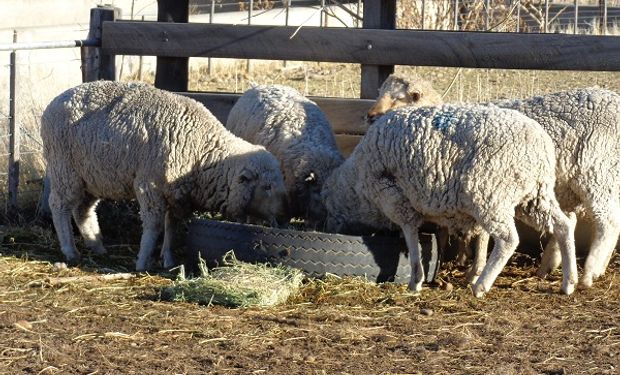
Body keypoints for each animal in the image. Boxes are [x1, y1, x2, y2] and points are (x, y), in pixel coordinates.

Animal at [41, 81, 288, 272]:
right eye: (266, 186)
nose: (285, 215)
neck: (202, 151)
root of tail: (55, 101)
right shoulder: (149, 187)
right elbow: (154, 226)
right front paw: (143, 262)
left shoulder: (178, 195)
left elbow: (172, 227)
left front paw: (168, 259)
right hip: (65, 170)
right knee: (59, 206)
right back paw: (70, 251)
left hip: (93, 177)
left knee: (82, 210)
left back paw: (97, 245)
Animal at [322, 102, 580, 296]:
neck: (356, 181)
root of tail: (540, 145)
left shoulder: (396, 199)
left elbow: (411, 237)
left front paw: (416, 280)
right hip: (534, 196)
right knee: (563, 225)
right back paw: (569, 283)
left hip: (489, 192)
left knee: (508, 239)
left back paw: (481, 285)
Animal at [368, 74, 620, 290]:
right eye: (380, 93)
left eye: (398, 97)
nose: (370, 116)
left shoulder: (483, 189)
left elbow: (481, 234)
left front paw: (474, 272)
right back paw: (567, 269)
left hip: (597, 174)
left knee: (607, 223)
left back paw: (589, 273)